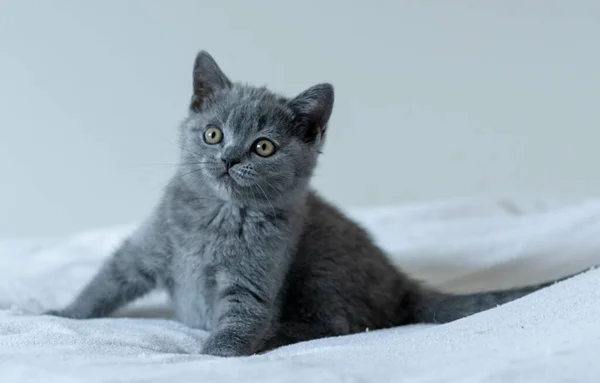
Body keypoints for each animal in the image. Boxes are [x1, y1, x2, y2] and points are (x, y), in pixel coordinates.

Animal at [45, 50, 572, 356]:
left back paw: (277, 337)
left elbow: (242, 318)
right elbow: (106, 281)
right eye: (212, 134)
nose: (229, 158)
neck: (217, 216)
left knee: (337, 324)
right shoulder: (147, 248)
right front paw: (60, 314)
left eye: (263, 147)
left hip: (323, 266)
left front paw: (212, 355)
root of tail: (402, 282)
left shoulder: (255, 277)